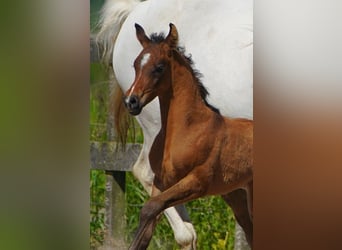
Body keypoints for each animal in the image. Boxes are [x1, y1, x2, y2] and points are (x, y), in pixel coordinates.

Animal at [96, 0, 251, 248]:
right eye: (136, 65)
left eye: (159, 67)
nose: (131, 100)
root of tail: (134, 10)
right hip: (154, 128)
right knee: (146, 174)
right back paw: (184, 235)